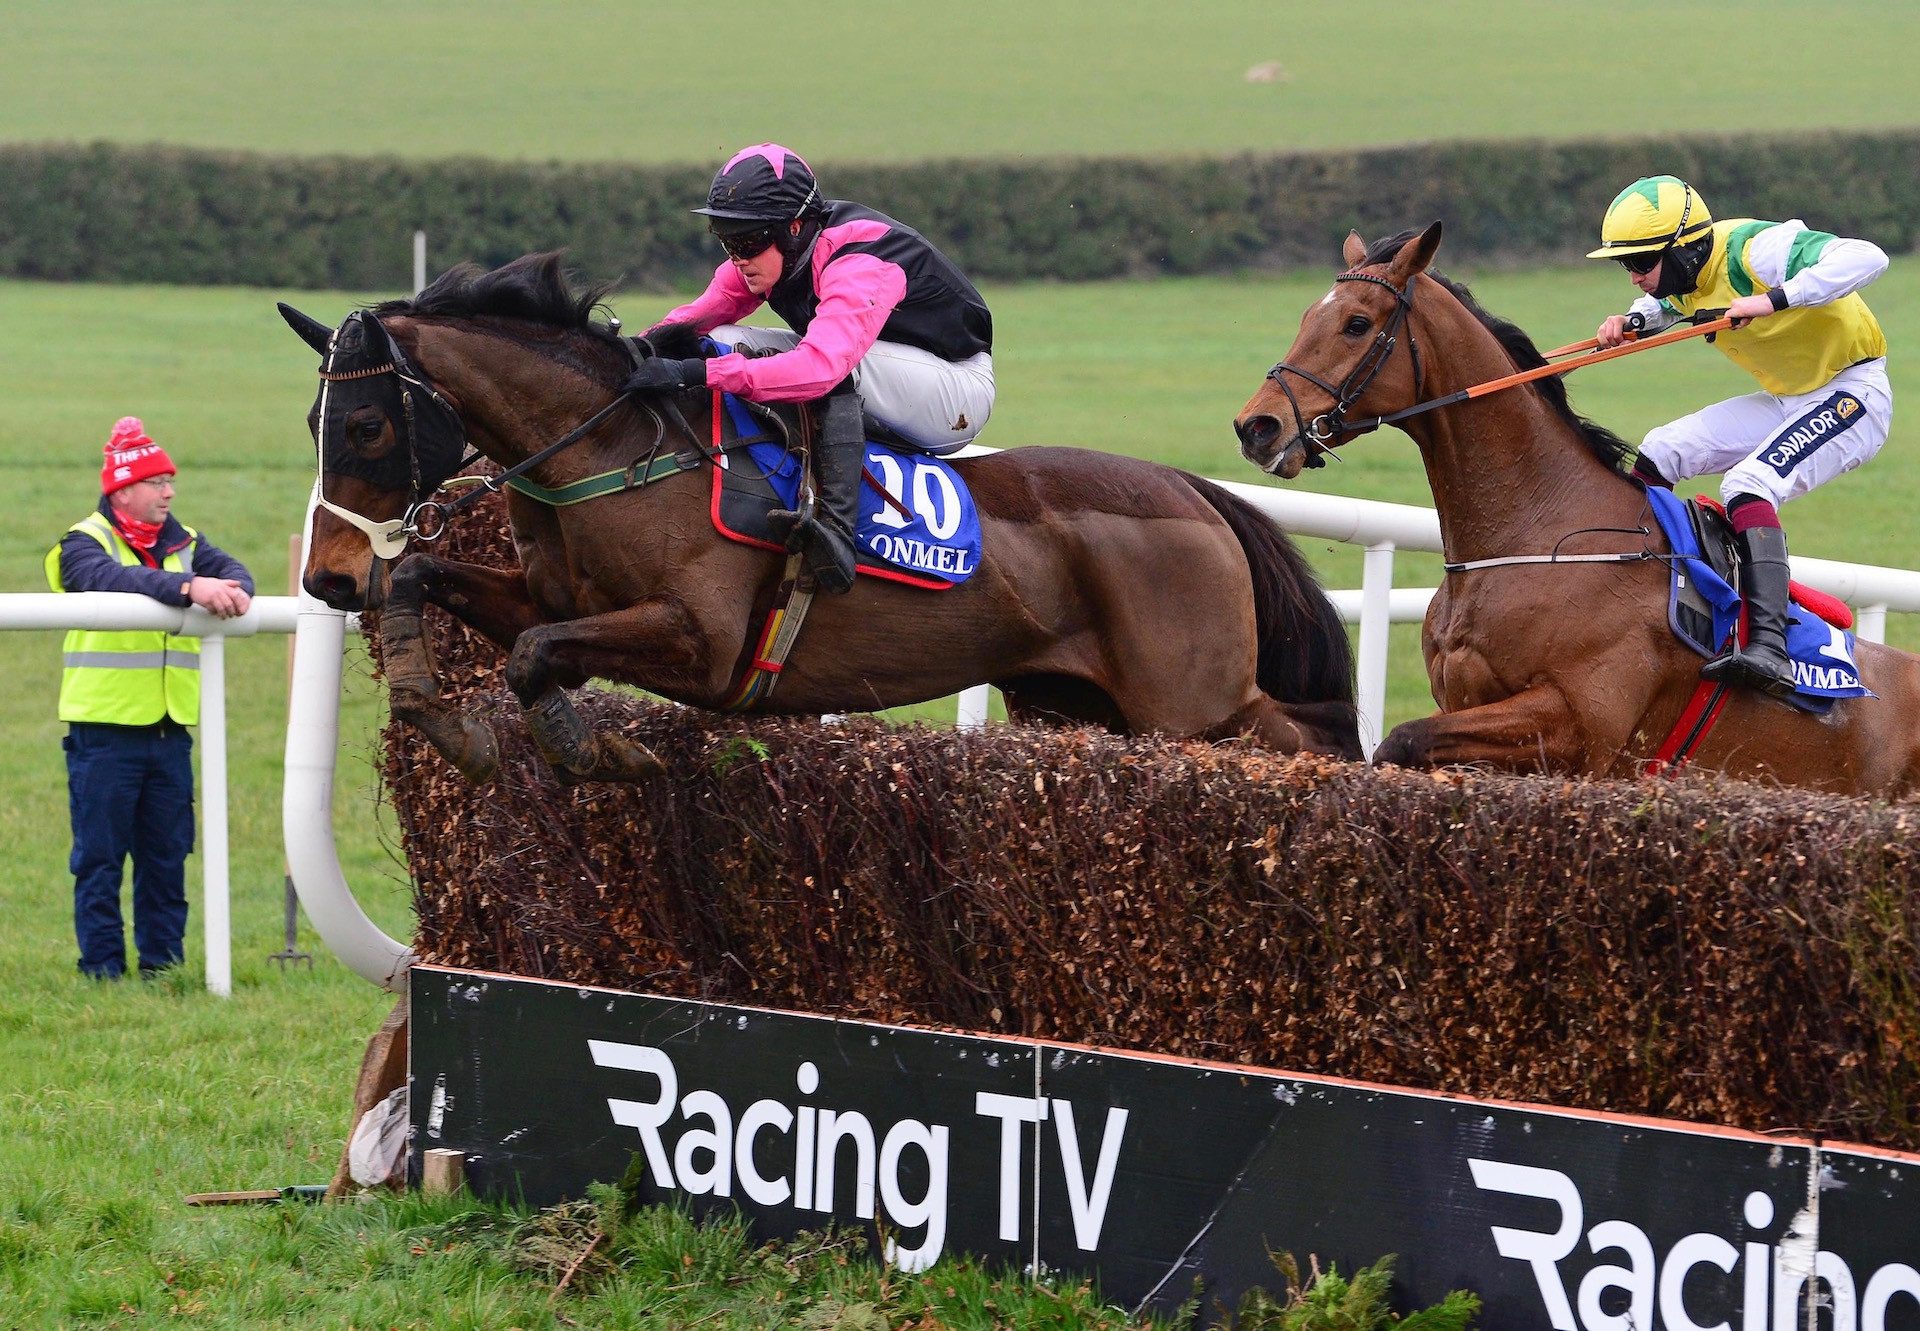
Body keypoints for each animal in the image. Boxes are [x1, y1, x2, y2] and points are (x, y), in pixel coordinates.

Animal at [280, 249, 1367, 779]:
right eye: (314, 419)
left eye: (368, 424)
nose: (328, 575)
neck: (618, 452)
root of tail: (1195, 493)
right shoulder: (546, 596)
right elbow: (441, 587)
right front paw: (450, 727)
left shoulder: (704, 641)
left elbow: (536, 655)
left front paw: (597, 752)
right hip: (1075, 704)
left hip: (1194, 705)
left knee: (1308, 736)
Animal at [1228, 222, 1920, 795]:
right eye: (1307, 316)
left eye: (1356, 323)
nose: (1257, 426)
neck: (1539, 533)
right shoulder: (1466, 702)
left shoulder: (1580, 725)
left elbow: (1401, 740)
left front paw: (1756, 305)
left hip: (1851, 411)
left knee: (1754, 483)